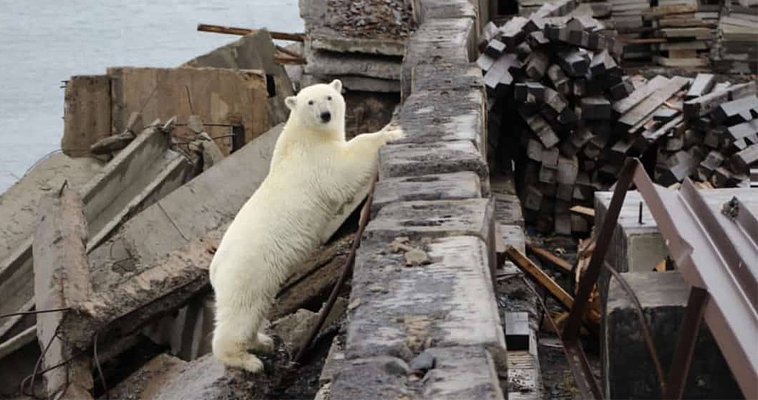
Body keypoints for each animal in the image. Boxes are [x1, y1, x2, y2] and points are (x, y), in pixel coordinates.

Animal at [208, 79, 406, 374]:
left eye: (329, 97)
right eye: (310, 102)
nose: (325, 115)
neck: (303, 135)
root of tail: (214, 268)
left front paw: (390, 126)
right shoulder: (316, 162)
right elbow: (344, 168)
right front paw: (391, 134)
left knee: (255, 309)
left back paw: (263, 341)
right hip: (246, 270)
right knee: (241, 311)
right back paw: (248, 360)